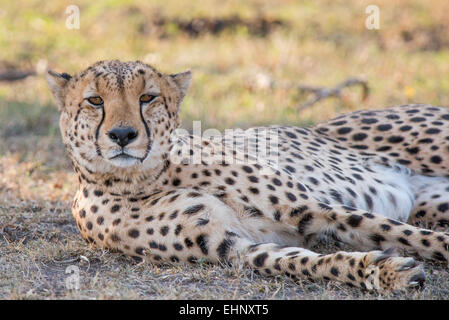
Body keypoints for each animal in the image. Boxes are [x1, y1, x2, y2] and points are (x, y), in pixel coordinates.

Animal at [46, 60, 448, 292]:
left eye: (148, 97)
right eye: (95, 100)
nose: (123, 135)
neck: (148, 176)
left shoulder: (310, 208)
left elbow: (403, 233)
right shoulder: (233, 248)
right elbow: (306, 261)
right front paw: (384, 272)